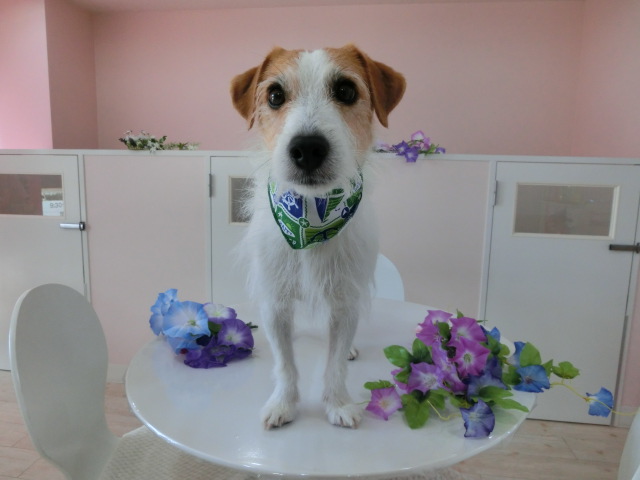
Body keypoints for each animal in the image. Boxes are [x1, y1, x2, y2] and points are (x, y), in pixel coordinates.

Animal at [230, 44, 405, 429]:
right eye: (275, 95)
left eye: (346, 91)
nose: (308, 148)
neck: (311, 218)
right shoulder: (275, 302)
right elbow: (285, 364)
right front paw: (283, 404)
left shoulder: (345, 302)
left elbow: (335, 363)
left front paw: (338, 404)